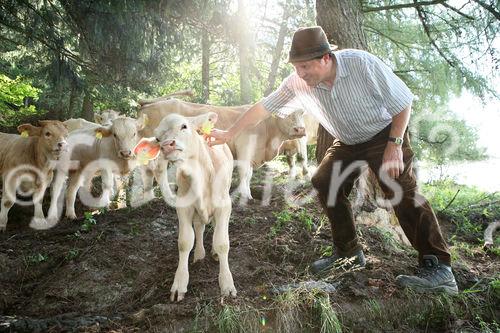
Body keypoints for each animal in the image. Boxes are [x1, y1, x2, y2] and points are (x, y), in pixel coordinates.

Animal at [154, 113, 236, 300]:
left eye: (184, 126)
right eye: (157, 138)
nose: (166, 145)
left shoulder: (224, 205)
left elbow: (222, 242)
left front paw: (227, 283)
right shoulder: (184, 207)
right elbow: (185, 242)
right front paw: (179, 283)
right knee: (199, 227)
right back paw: (199, 255)